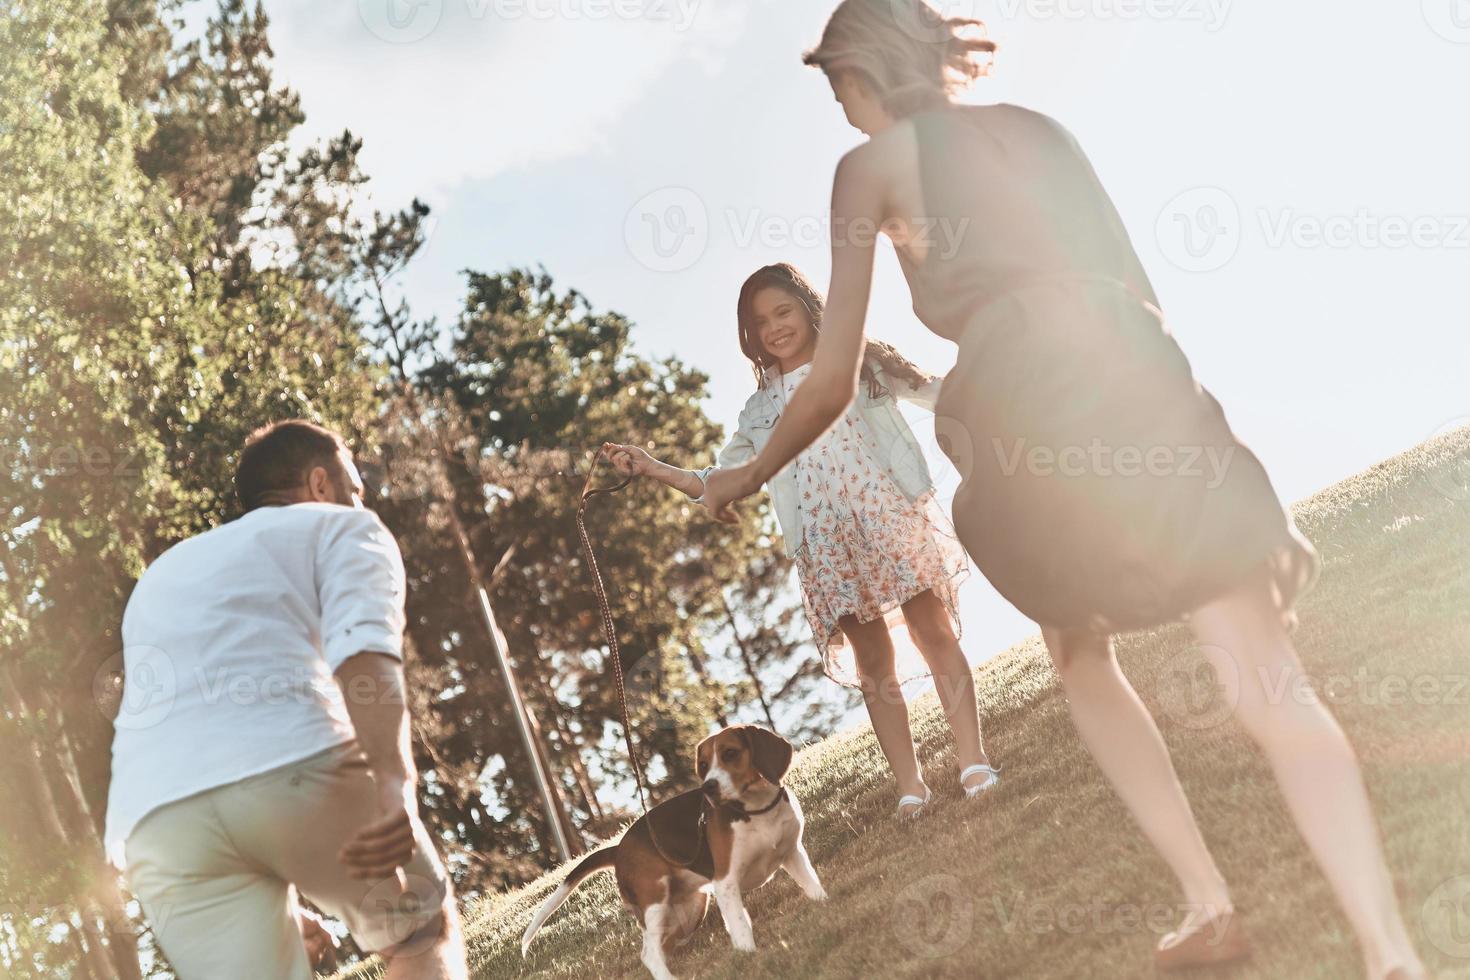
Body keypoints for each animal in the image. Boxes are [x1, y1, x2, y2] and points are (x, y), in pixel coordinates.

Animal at [523, 725, 829, 975]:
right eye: (703, 765)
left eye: (730, 753)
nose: (708, 787)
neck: (757, 810)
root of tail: (619, 847)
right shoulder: (726, 882)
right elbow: (741, 924)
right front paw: (749, 956)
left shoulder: (793, 854)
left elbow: (813, 887)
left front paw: (824, 905)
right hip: (655, 901)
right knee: (649, 954)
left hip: (691, 908)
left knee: (663, 946)